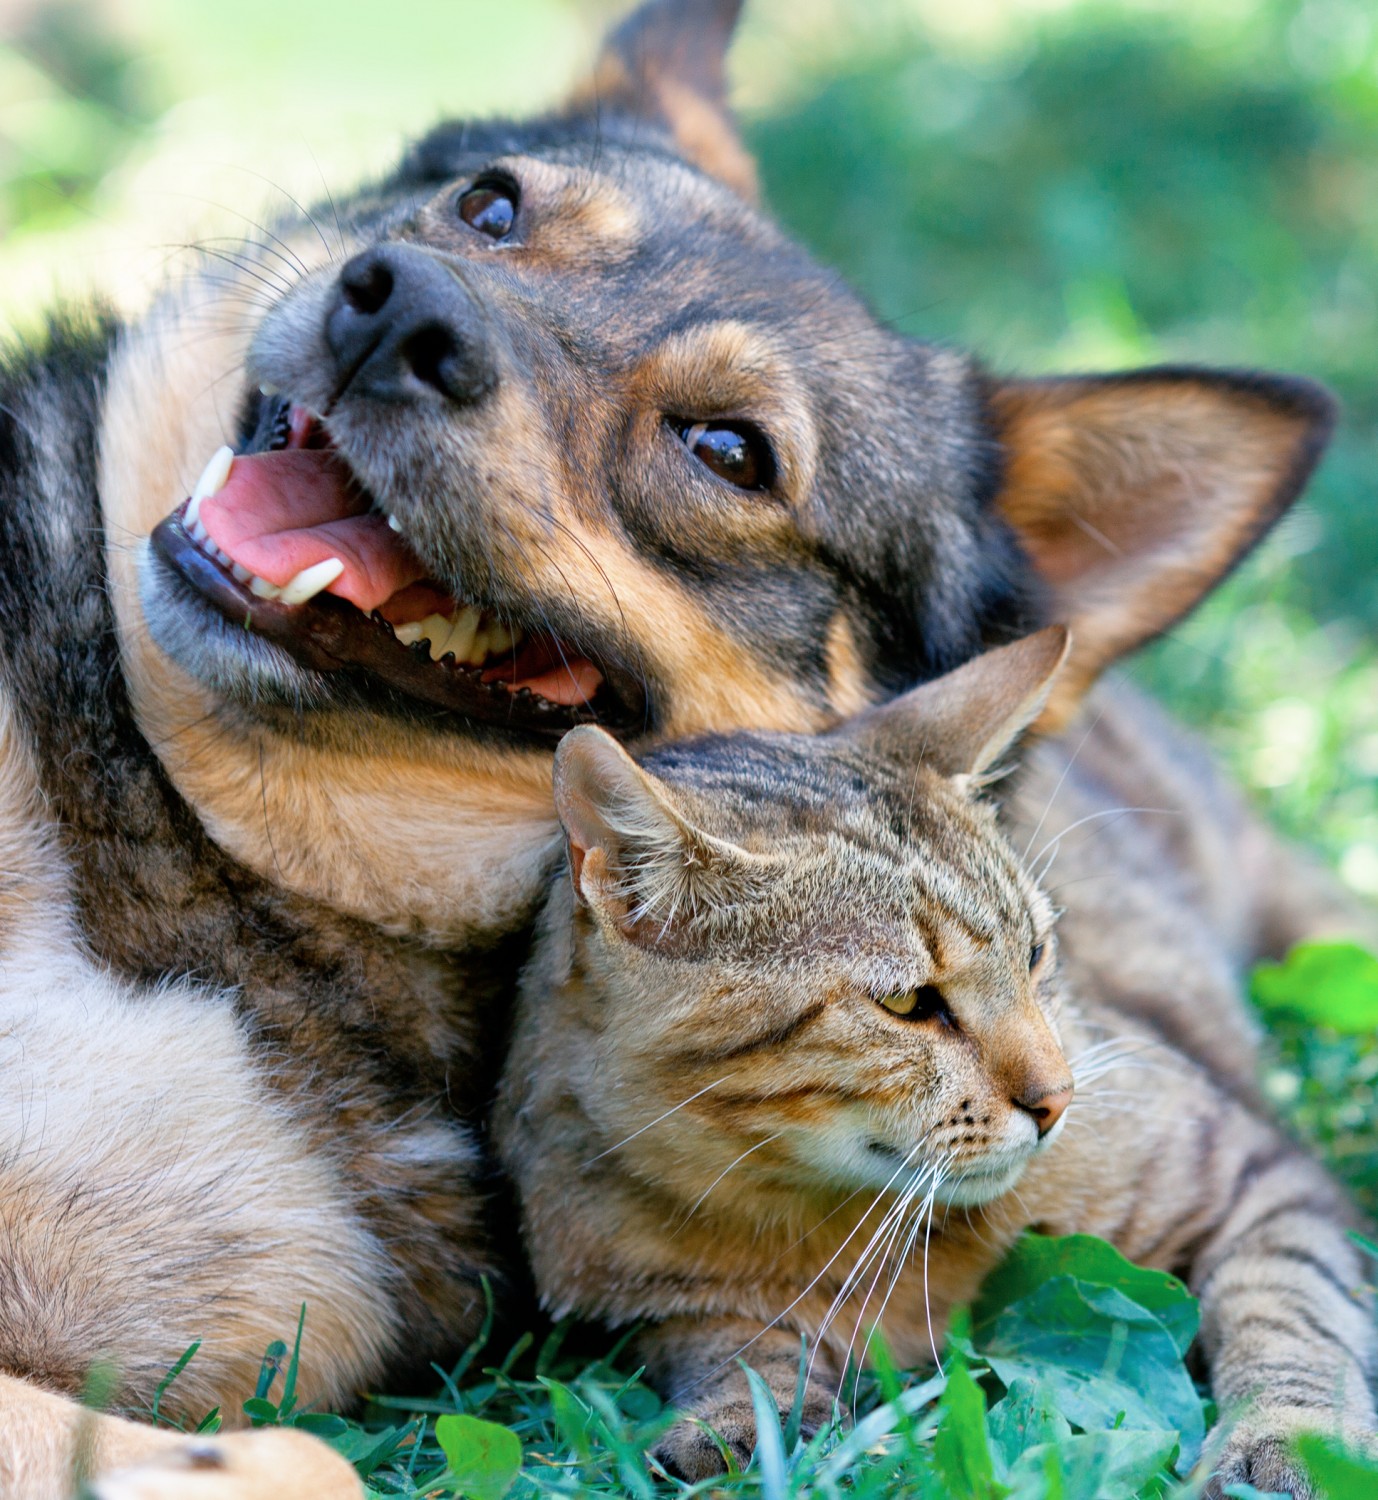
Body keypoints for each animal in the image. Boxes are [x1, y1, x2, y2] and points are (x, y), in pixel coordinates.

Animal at [497, 627, 1378, 1494]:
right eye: (908, 1003)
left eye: (1035, 954)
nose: (1058, 1099)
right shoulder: (658, 1305)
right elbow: (736, 1351)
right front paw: (743, 1423)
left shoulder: (1256, 1177)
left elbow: (1287, 1307)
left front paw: (1289, 1440)